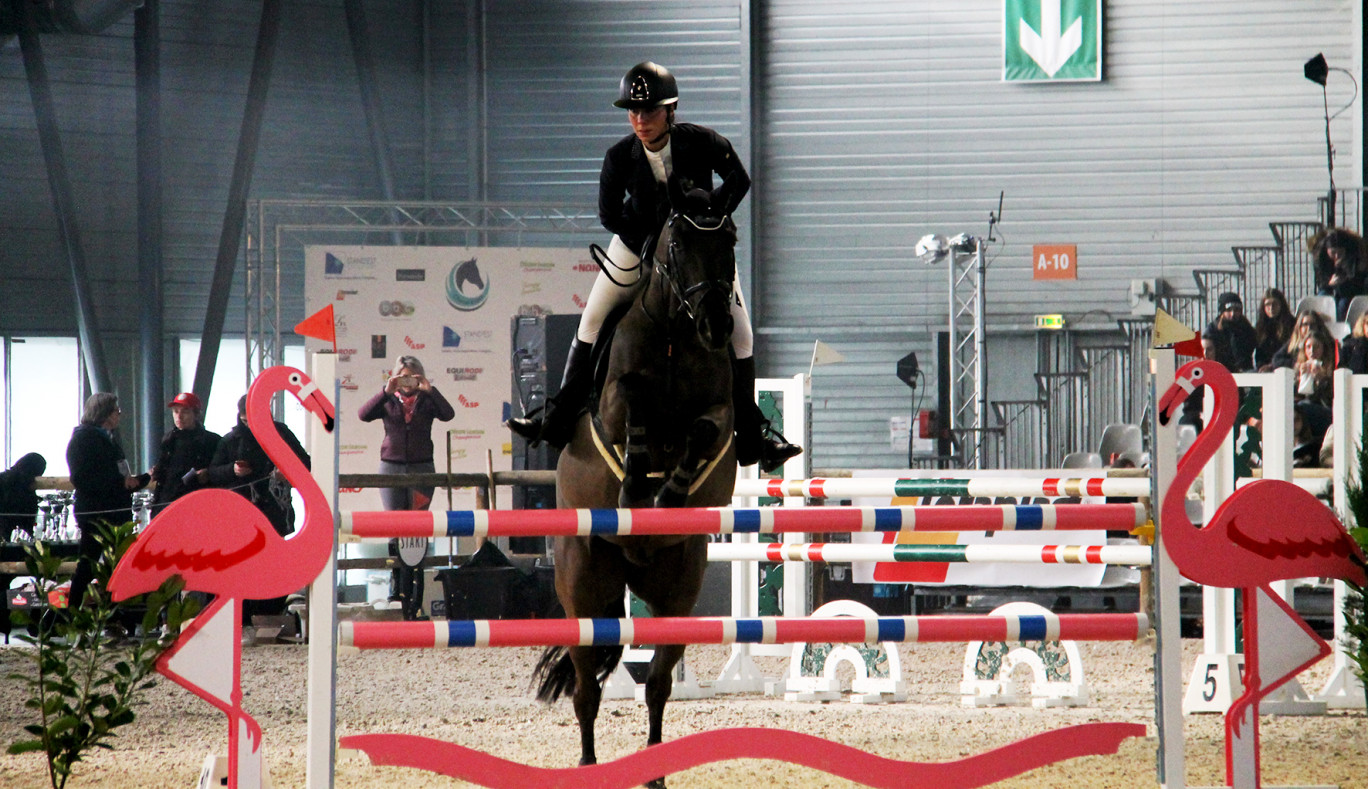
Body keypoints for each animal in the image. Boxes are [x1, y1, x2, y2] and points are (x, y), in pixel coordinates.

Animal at [536, 177, 744, 787]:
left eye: (730, 240)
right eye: (676, 245)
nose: (717, 326)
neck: (675, 332)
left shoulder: (721, 410)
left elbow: (702, 430)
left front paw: (671, 492)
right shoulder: (613, 399)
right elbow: (633, 409)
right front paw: (635, 488)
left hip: (677, 592)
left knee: (656, 683)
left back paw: (655, 770)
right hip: (584, 589)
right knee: (586, 689)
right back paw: (587, 764)